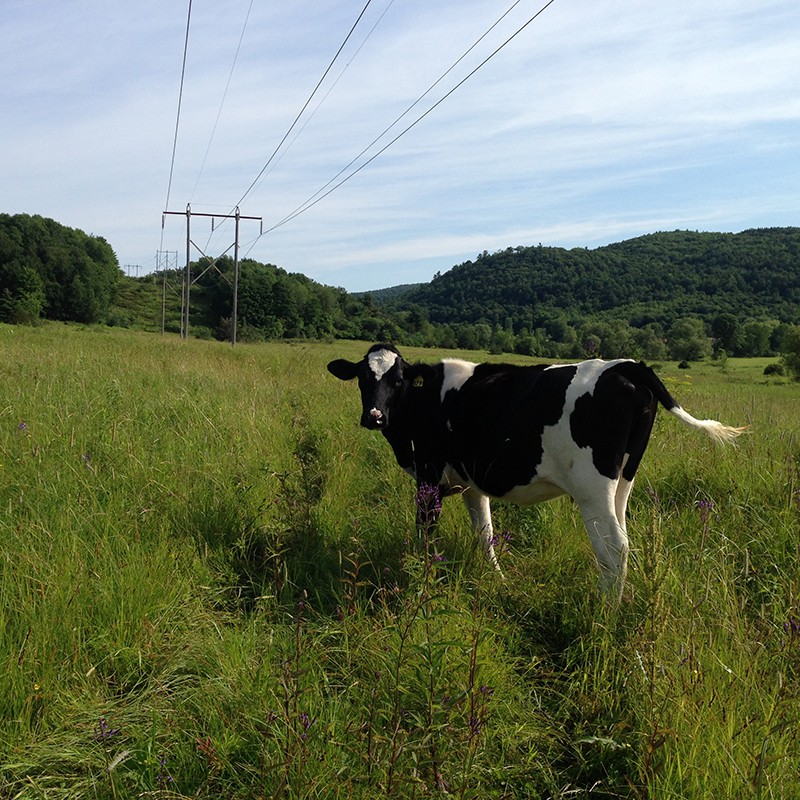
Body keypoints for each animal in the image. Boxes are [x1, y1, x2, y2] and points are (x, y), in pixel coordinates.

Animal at [326, 340, 744, 596]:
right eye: (363, 378)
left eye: (398, 380)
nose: (374, 416)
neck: (421, 403)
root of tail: (625, 365)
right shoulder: (473, 483)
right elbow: (485, 533)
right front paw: (497, 578)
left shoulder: (428, 477)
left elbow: (425, 536)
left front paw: (422, 580)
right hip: (624, 480)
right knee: (624, 537)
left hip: (592, 488)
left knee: (614, 547)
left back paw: (605, 611)